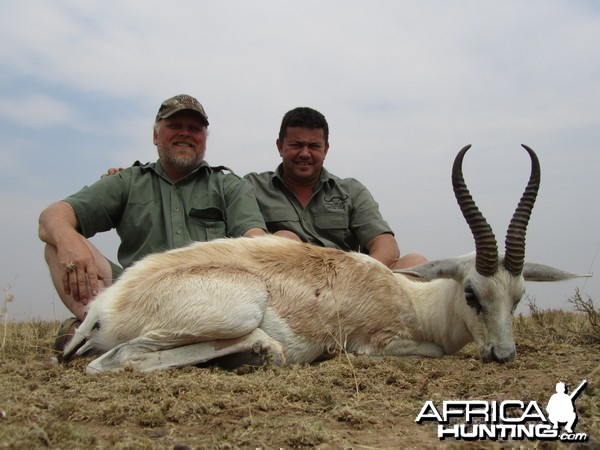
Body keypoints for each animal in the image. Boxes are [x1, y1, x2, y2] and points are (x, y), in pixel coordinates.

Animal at [63, 144, 588, 372]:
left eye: (517, 296)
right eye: (472, 293)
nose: (503, 355)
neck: (413, 300)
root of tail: (102, 309)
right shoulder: (379, 344)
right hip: (236, 310)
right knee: (114, 360)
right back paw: (262, 351)